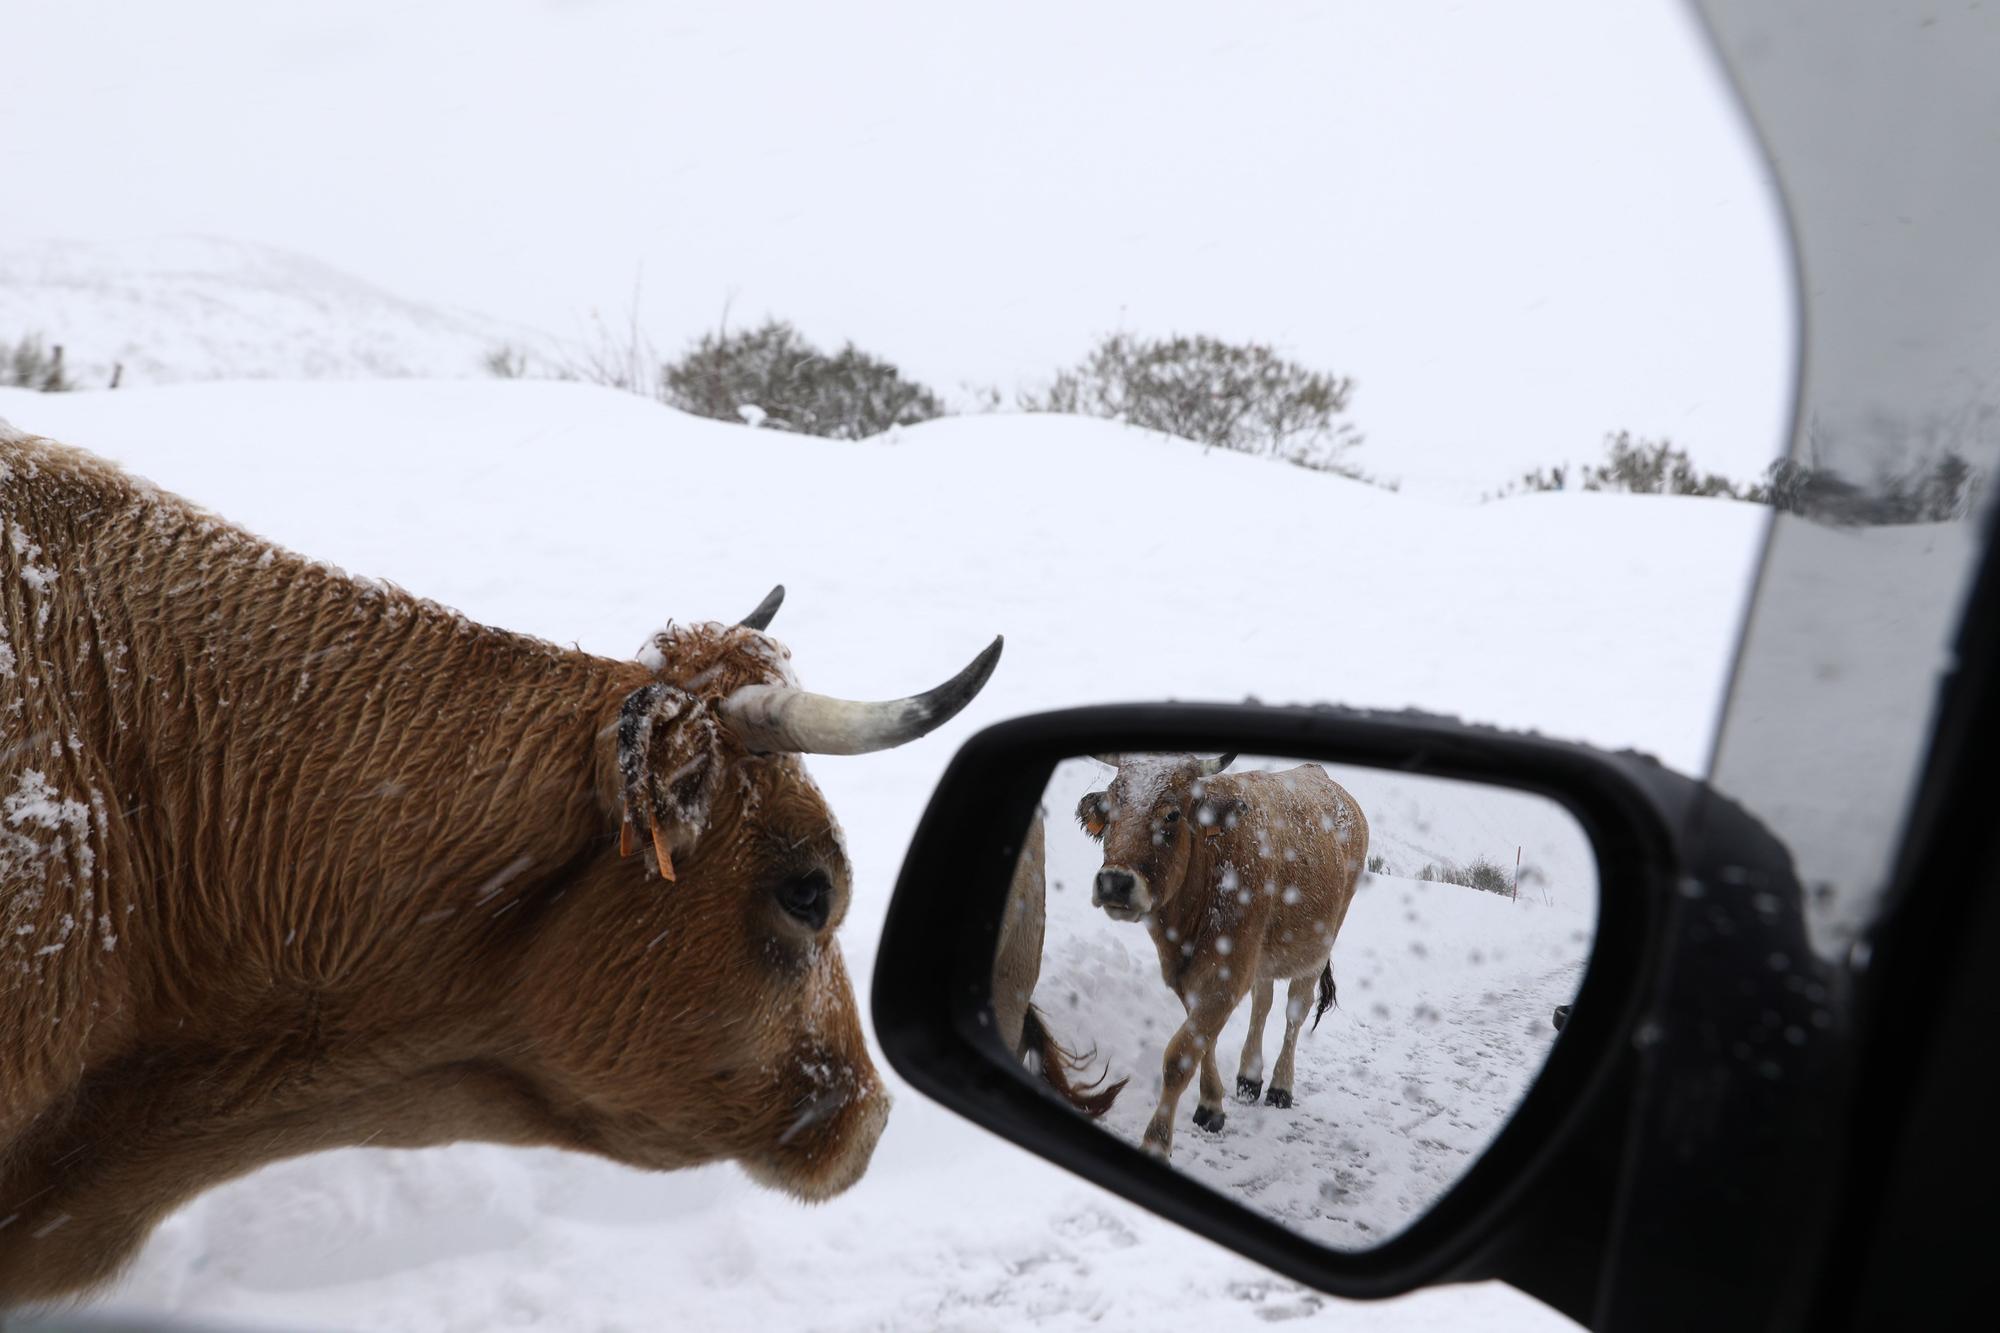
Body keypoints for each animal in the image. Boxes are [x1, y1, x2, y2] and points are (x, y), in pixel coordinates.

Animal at [1080, 752, 1376, 1160]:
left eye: (1172, 814)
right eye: (1108, 810)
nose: (1114, 882)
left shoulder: (1227, 975)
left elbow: (1180, 1056)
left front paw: (1157, 1142)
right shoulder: (1188, 977)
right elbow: (1205, 1041)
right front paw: (1211, 1105)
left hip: (1318, 948)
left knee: (1295, 1012)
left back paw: (1280, 1087)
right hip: (1265, 955)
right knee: (1263, 1002)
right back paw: (1249, 1078)